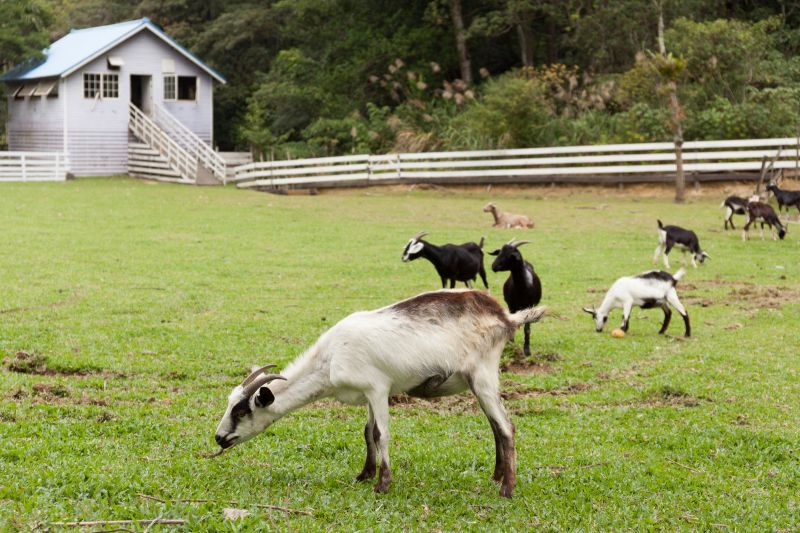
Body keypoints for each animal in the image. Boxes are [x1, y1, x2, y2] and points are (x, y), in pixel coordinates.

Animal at [212, 288, 548, 496]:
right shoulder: (367, 395)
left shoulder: (378, 388)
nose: (219, 437)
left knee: (506, 427)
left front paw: (383, 484)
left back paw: (507, 489)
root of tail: (504, 317)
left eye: (242, 410)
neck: (330, 359)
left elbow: (380, 434)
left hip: (482, 375)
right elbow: (367, 432)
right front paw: (365, 475)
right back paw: (497, 476)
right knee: (495, 427)